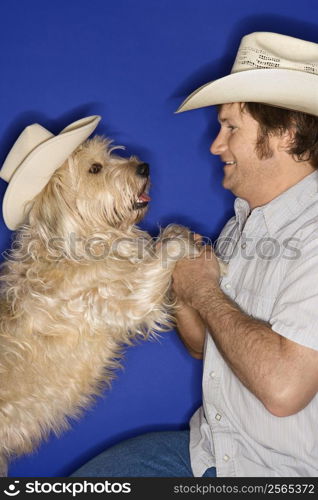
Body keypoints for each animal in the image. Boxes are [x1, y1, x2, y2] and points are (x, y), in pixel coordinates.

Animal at [0, 136, 199, 476]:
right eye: (95, 168)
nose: (144, 167)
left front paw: (178, 233)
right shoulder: (126, 302)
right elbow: (163, 257)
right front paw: (183, 242)